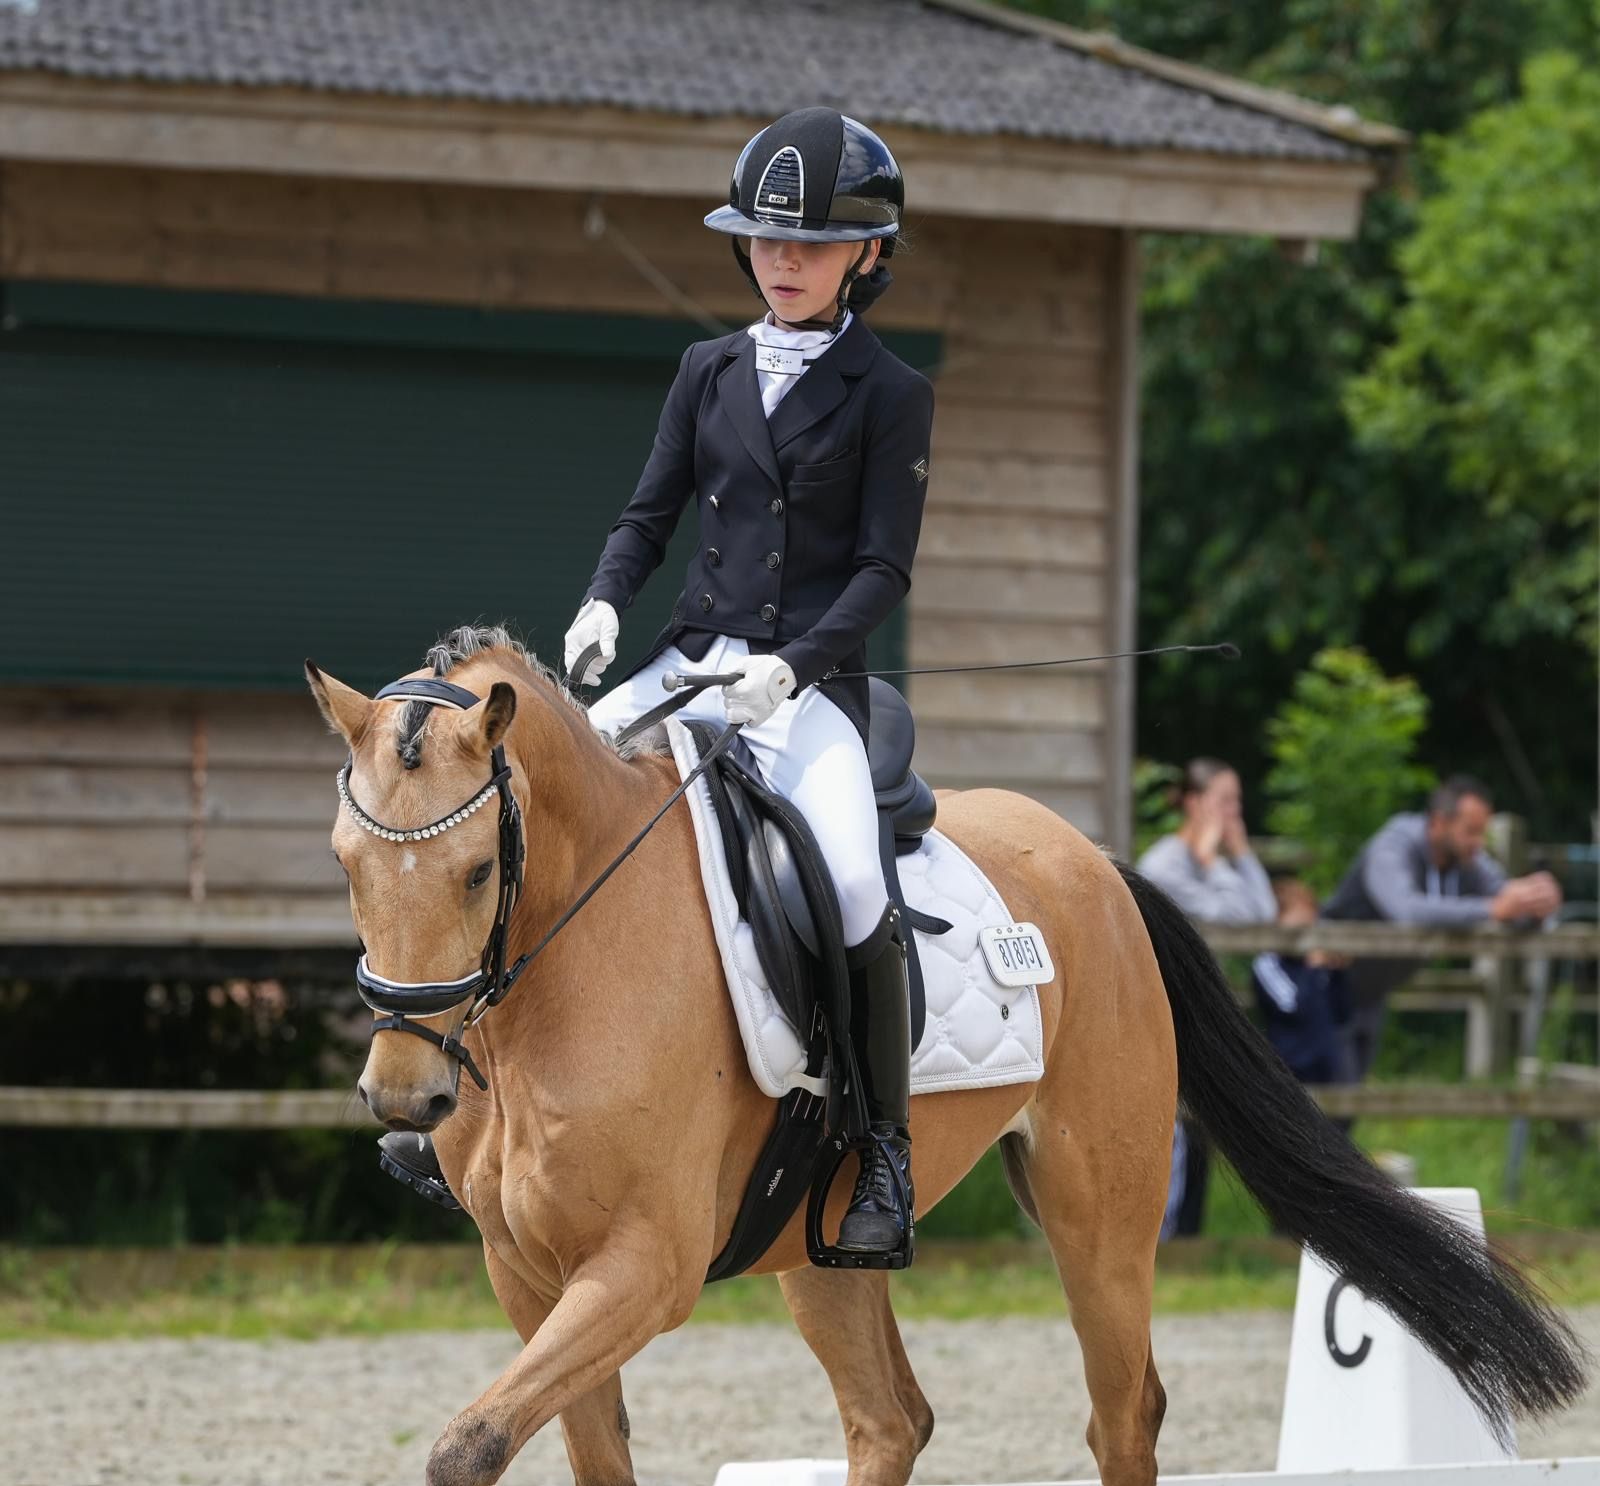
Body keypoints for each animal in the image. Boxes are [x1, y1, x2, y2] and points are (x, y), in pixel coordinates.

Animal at [306, 625, 1586, 1486]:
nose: (403, 1095)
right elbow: (571, 1448)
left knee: (1122, 1413)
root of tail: (1094, 862)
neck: (564, 975)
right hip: (818, 1240)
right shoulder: (527, 1274)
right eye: (344, 863)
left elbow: (467, 1444)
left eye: (478, 870)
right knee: (890, 1420)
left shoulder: (642, 1269)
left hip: (1096, 1214)